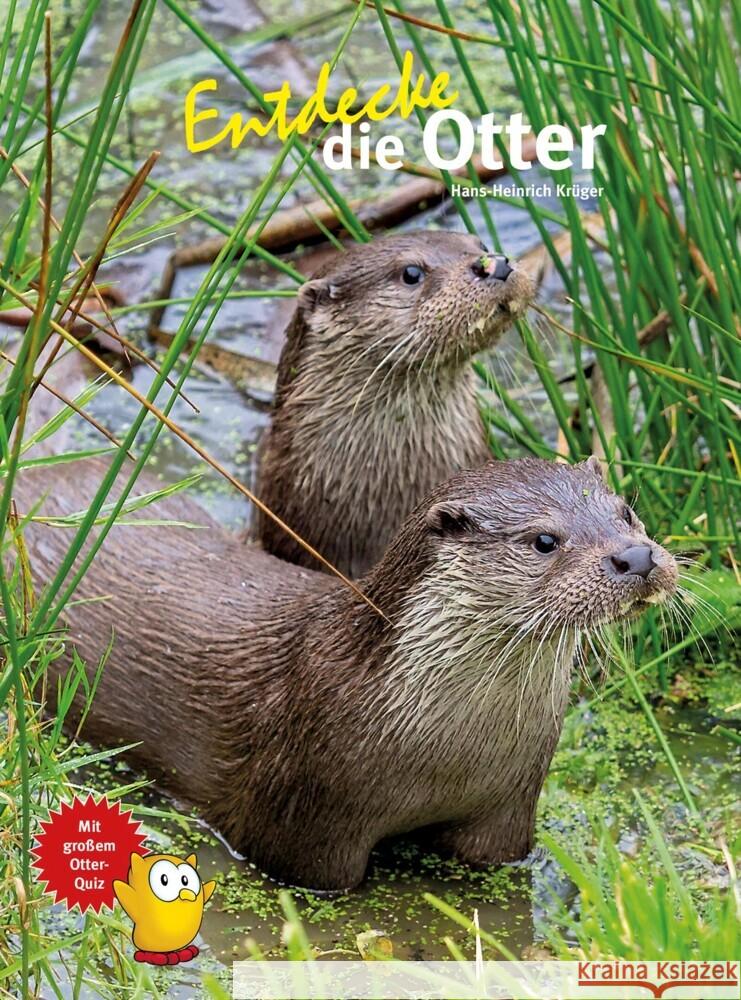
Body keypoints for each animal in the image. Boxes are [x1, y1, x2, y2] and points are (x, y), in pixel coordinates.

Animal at [18, 450, 676, 891]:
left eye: (627, 511)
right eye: (544, 540)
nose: (636, 556)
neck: (447, 752)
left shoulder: (509, 808)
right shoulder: (304, 824)